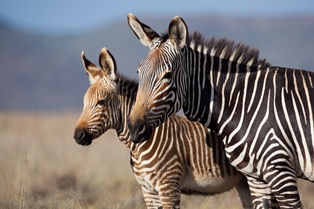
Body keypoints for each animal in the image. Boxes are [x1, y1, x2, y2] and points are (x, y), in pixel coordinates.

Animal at [73, 47, 253, 209]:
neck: (140, 144)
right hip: (243, 182)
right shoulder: (148, 190)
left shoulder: (168, 186)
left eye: (101, 102)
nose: (77, 136)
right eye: (83, 103)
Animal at [127, 13, 314, 209]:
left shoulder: (280, 169)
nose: (134, 128)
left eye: (168, 75)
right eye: (139, 72)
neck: (243, 103)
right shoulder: (256, 178)